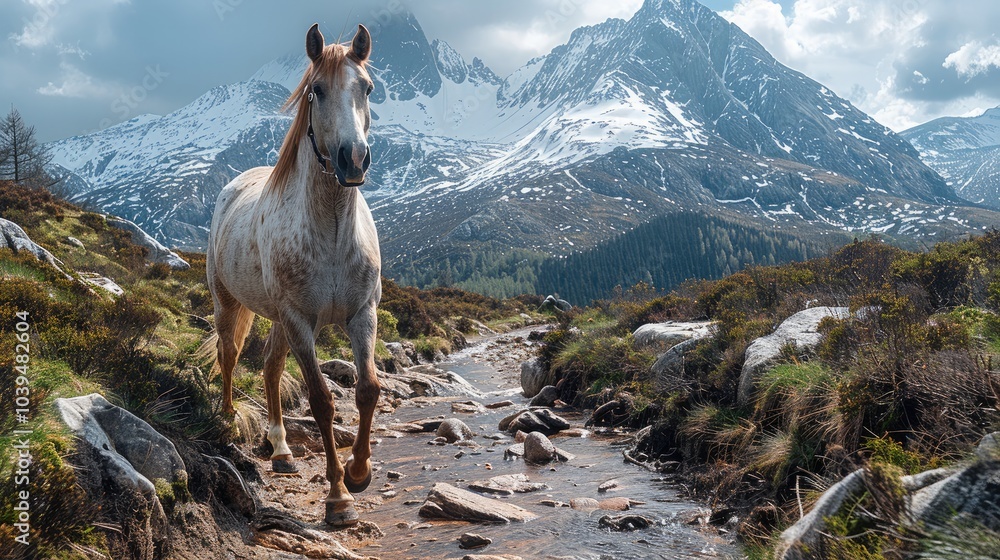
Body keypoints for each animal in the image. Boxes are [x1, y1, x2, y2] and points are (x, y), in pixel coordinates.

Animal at [205, 23, 380, 527]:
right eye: (315, 90)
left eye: (367, 88)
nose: (352, 159)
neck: (333, 233)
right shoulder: (302, 321)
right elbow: (322, 402)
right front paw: (338, 498)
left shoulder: (362, 313)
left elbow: (367, 390)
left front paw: (359, 472)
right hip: (232, 304)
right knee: (229, 354)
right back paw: (228, 418)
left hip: (282, 319)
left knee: (269, 366)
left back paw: (281, 450)